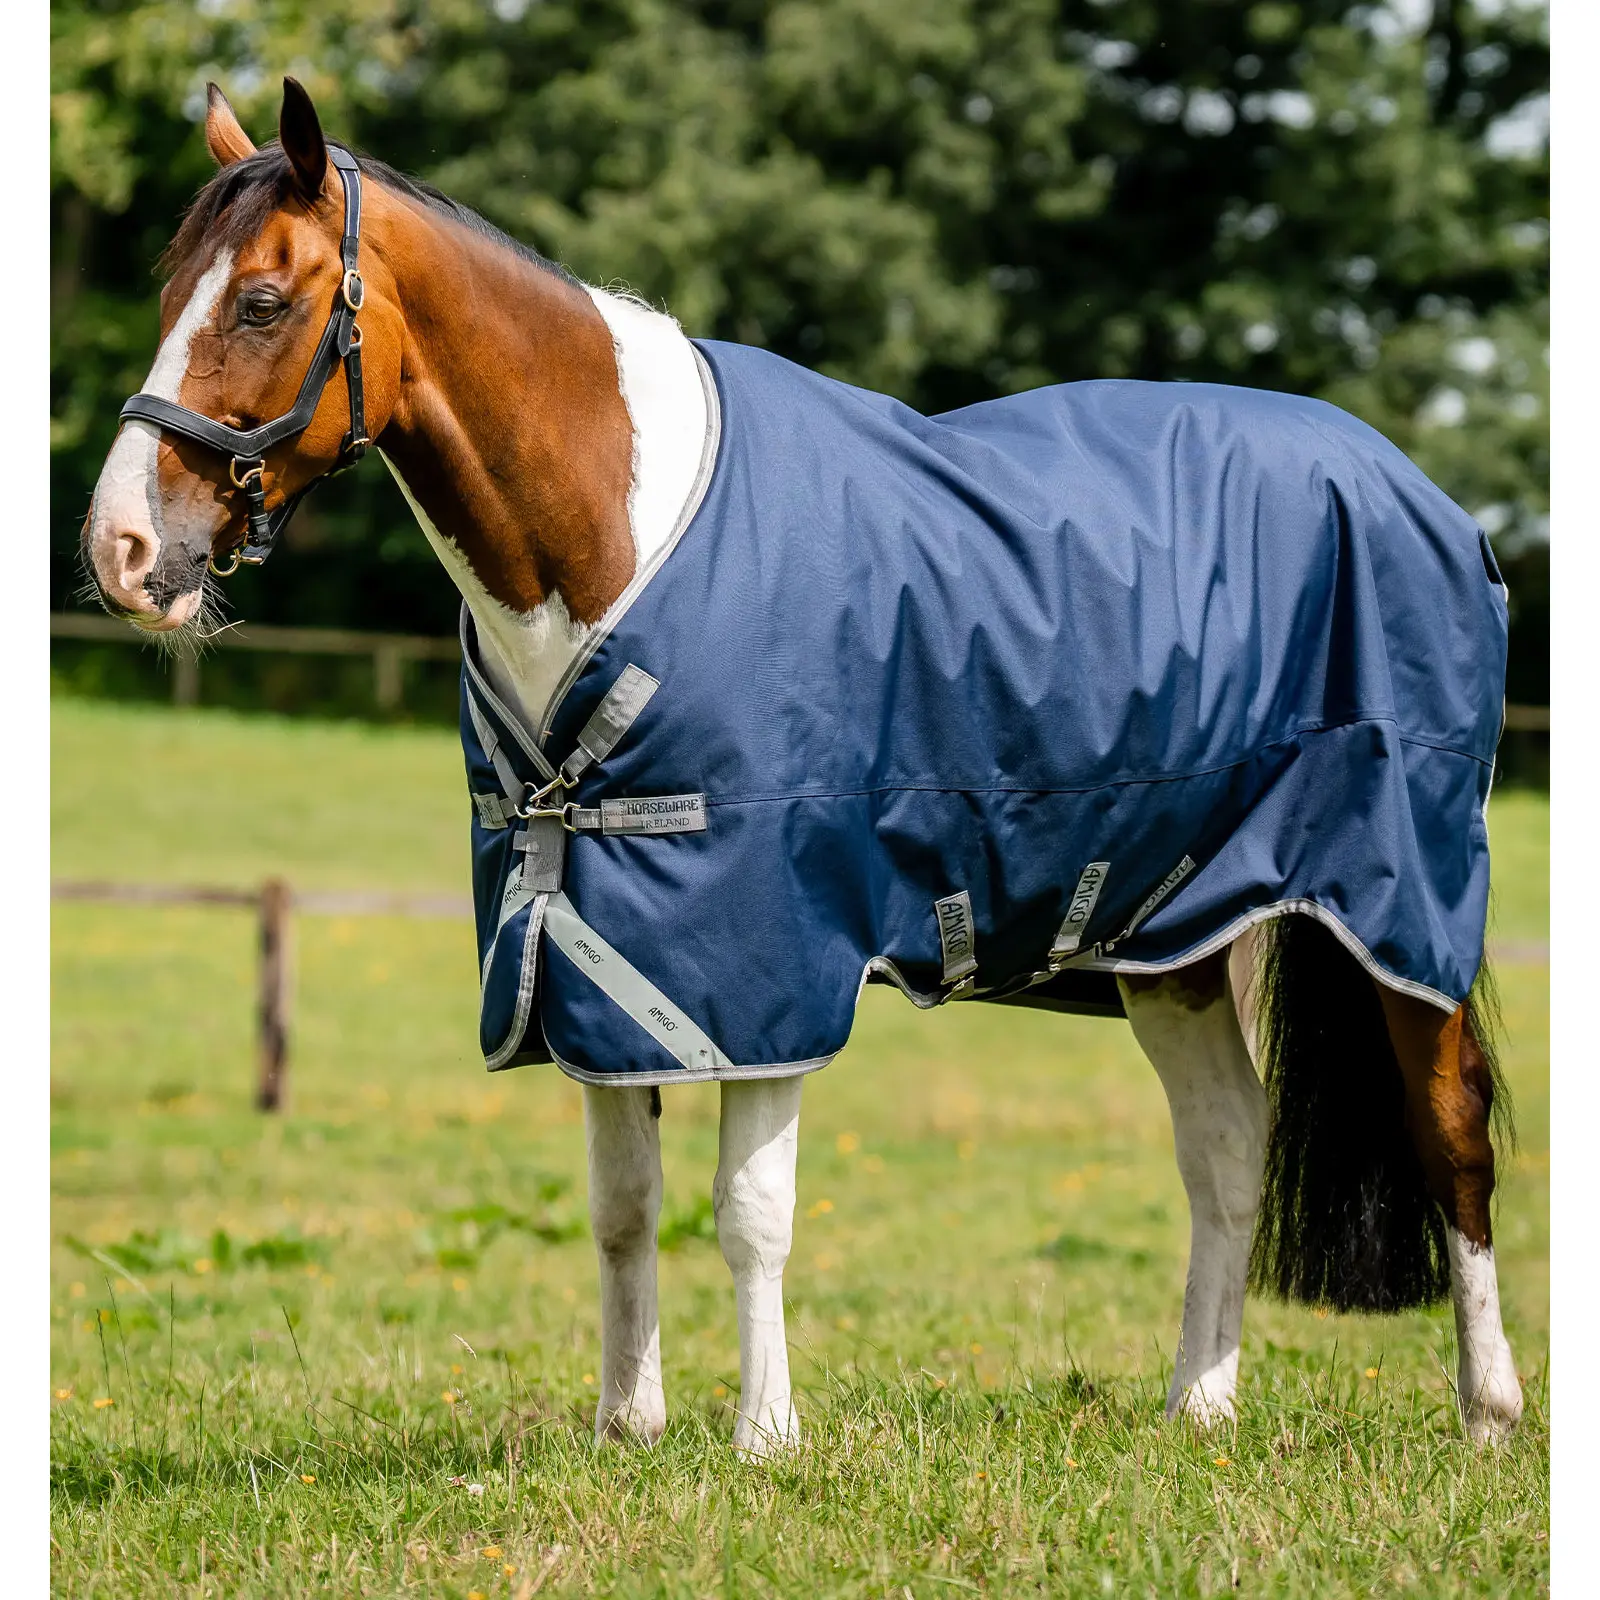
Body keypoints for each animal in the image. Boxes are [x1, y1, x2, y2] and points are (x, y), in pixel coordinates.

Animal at [80, 79, 1522, 1453]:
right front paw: (626, 1426)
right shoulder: (593, 956)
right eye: (164, 290)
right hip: (1168, 933)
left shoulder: (762, 960)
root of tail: (1417, 491)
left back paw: (1487, 1411)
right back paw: (1198, 1407)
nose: (121, 552)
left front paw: (764, 1436)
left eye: (262, 300)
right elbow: (622, 1205)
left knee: (1449, 1131)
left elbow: (749, 1209)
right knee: (1226, 1149)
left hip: (1396, 905)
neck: (614, 529)